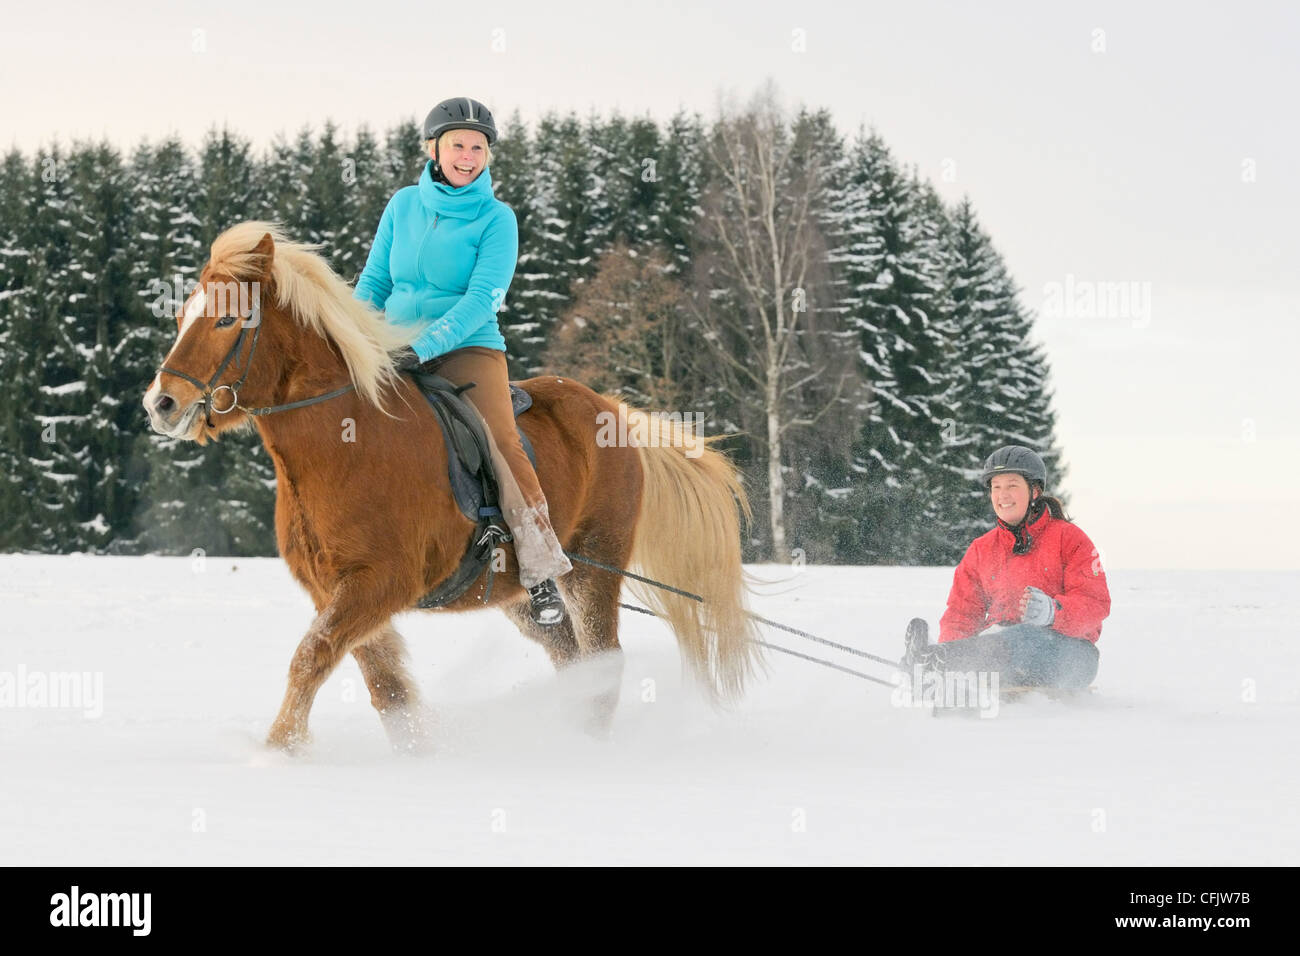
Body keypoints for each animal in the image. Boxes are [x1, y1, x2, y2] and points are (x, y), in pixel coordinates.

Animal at [141, 221, 762, 752]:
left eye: (227, 321)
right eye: (183, 316)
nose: (161, 403)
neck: (346, 443)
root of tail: (613, 412)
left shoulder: (379, 583)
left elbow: (312, 657)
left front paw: (276, 753)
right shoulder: (334, 590)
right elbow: (383, 686)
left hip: (593, 568)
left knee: (604, 661)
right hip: (523, 595)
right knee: (572, 658)